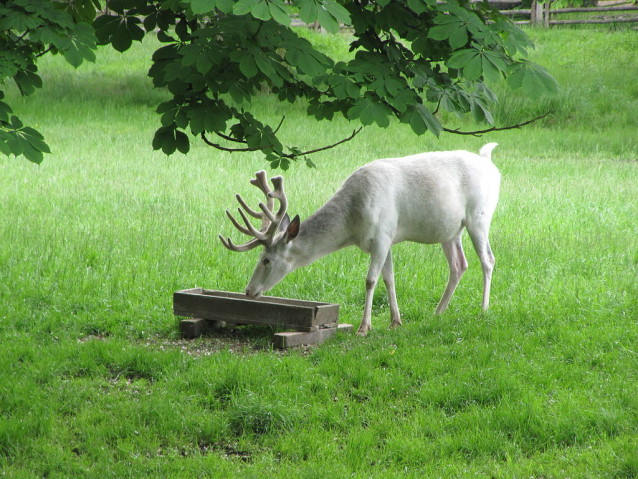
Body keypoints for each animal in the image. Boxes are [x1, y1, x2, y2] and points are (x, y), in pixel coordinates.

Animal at [222, 142, 502, 338]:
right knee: (459, 264)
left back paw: (484, 309)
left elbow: (370, 280)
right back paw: (438, 312)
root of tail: (491, 164)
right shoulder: (387, 238)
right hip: (450, 230)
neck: (352, 224)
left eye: (266, 260)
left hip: (479, 216)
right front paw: (395, 321)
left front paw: (364, 327)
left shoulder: (381, 235)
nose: (249, 291)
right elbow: (389, 278)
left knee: (488, 260)